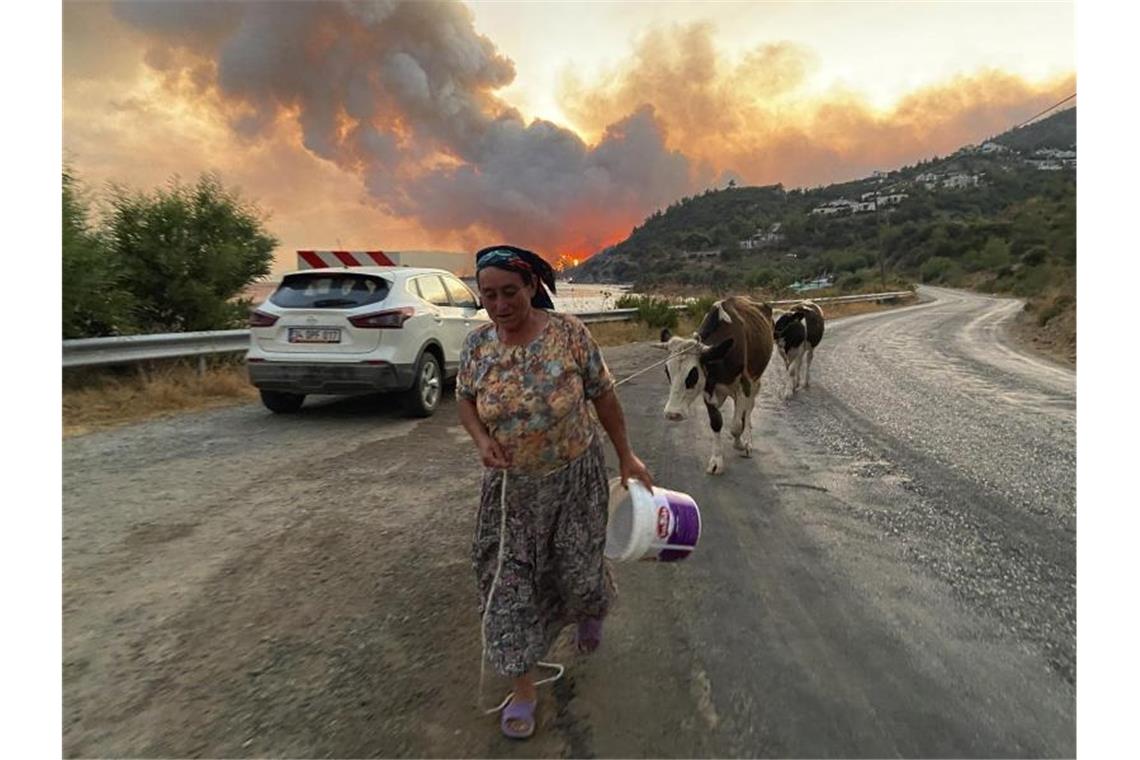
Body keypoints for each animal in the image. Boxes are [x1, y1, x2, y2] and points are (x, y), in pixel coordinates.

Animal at [652, 296, 775, 476]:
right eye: (667, 371)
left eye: (693, 374)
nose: (672, 414)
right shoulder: (708, 389)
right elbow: (716, 422)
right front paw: (717, 461)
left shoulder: (745, 384)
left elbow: (737, 423)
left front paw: (740, 442)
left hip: (755, 380)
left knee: (748, 408)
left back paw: (747, 440)